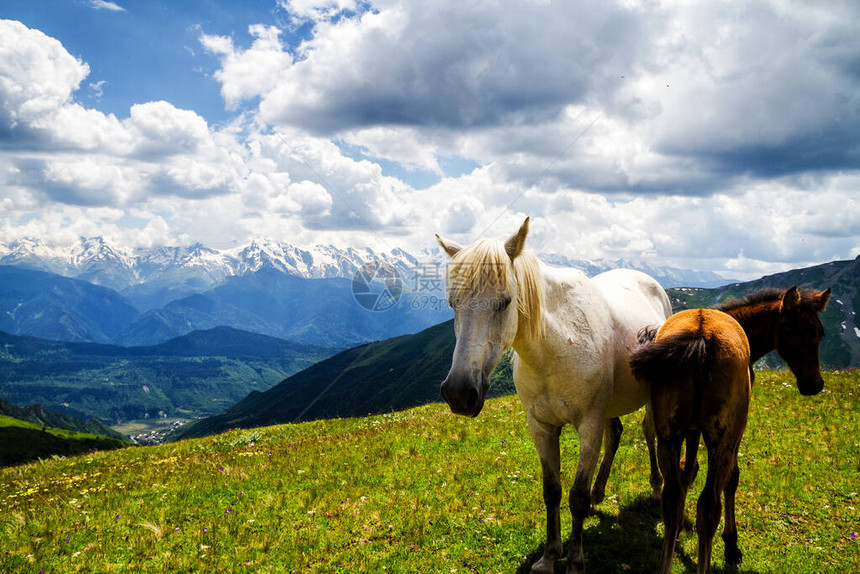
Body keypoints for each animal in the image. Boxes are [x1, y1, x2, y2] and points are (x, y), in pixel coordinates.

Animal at [436, 218, 672, 572]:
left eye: (505, 301)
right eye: (453, 305)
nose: (459, 394)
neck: (556, 348)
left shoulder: (588, 425)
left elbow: (575, 495)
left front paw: (574, 559)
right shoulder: (541, 426)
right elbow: (552, 490)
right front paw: (549, 555)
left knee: (649, 432)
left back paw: (657, 488)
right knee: (615, 434)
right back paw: (599, 492)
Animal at [632, 288, 832, 574]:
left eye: (819, 332)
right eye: (791, 330)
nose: (813, 384)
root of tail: (700, 338)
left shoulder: (691, 430)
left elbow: (687, 471)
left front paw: (680, 531)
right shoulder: (735, 431)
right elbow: (733, 478)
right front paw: (731, 543)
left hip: (669, 435)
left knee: (672, 499)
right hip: (722, 440)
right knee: (709, 507)